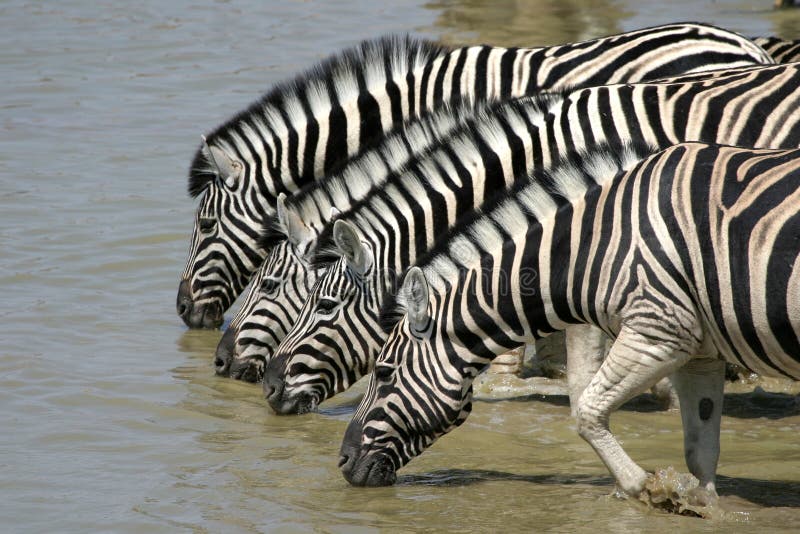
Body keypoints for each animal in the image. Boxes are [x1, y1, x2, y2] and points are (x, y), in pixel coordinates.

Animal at [338, 142, 800, 510]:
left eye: (383, 373)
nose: (340, 462)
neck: (592, 247)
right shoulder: (700, 352)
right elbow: (700, 450)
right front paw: (703, 505)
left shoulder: (659, 331)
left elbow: (587, 411)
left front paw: (643, 487)